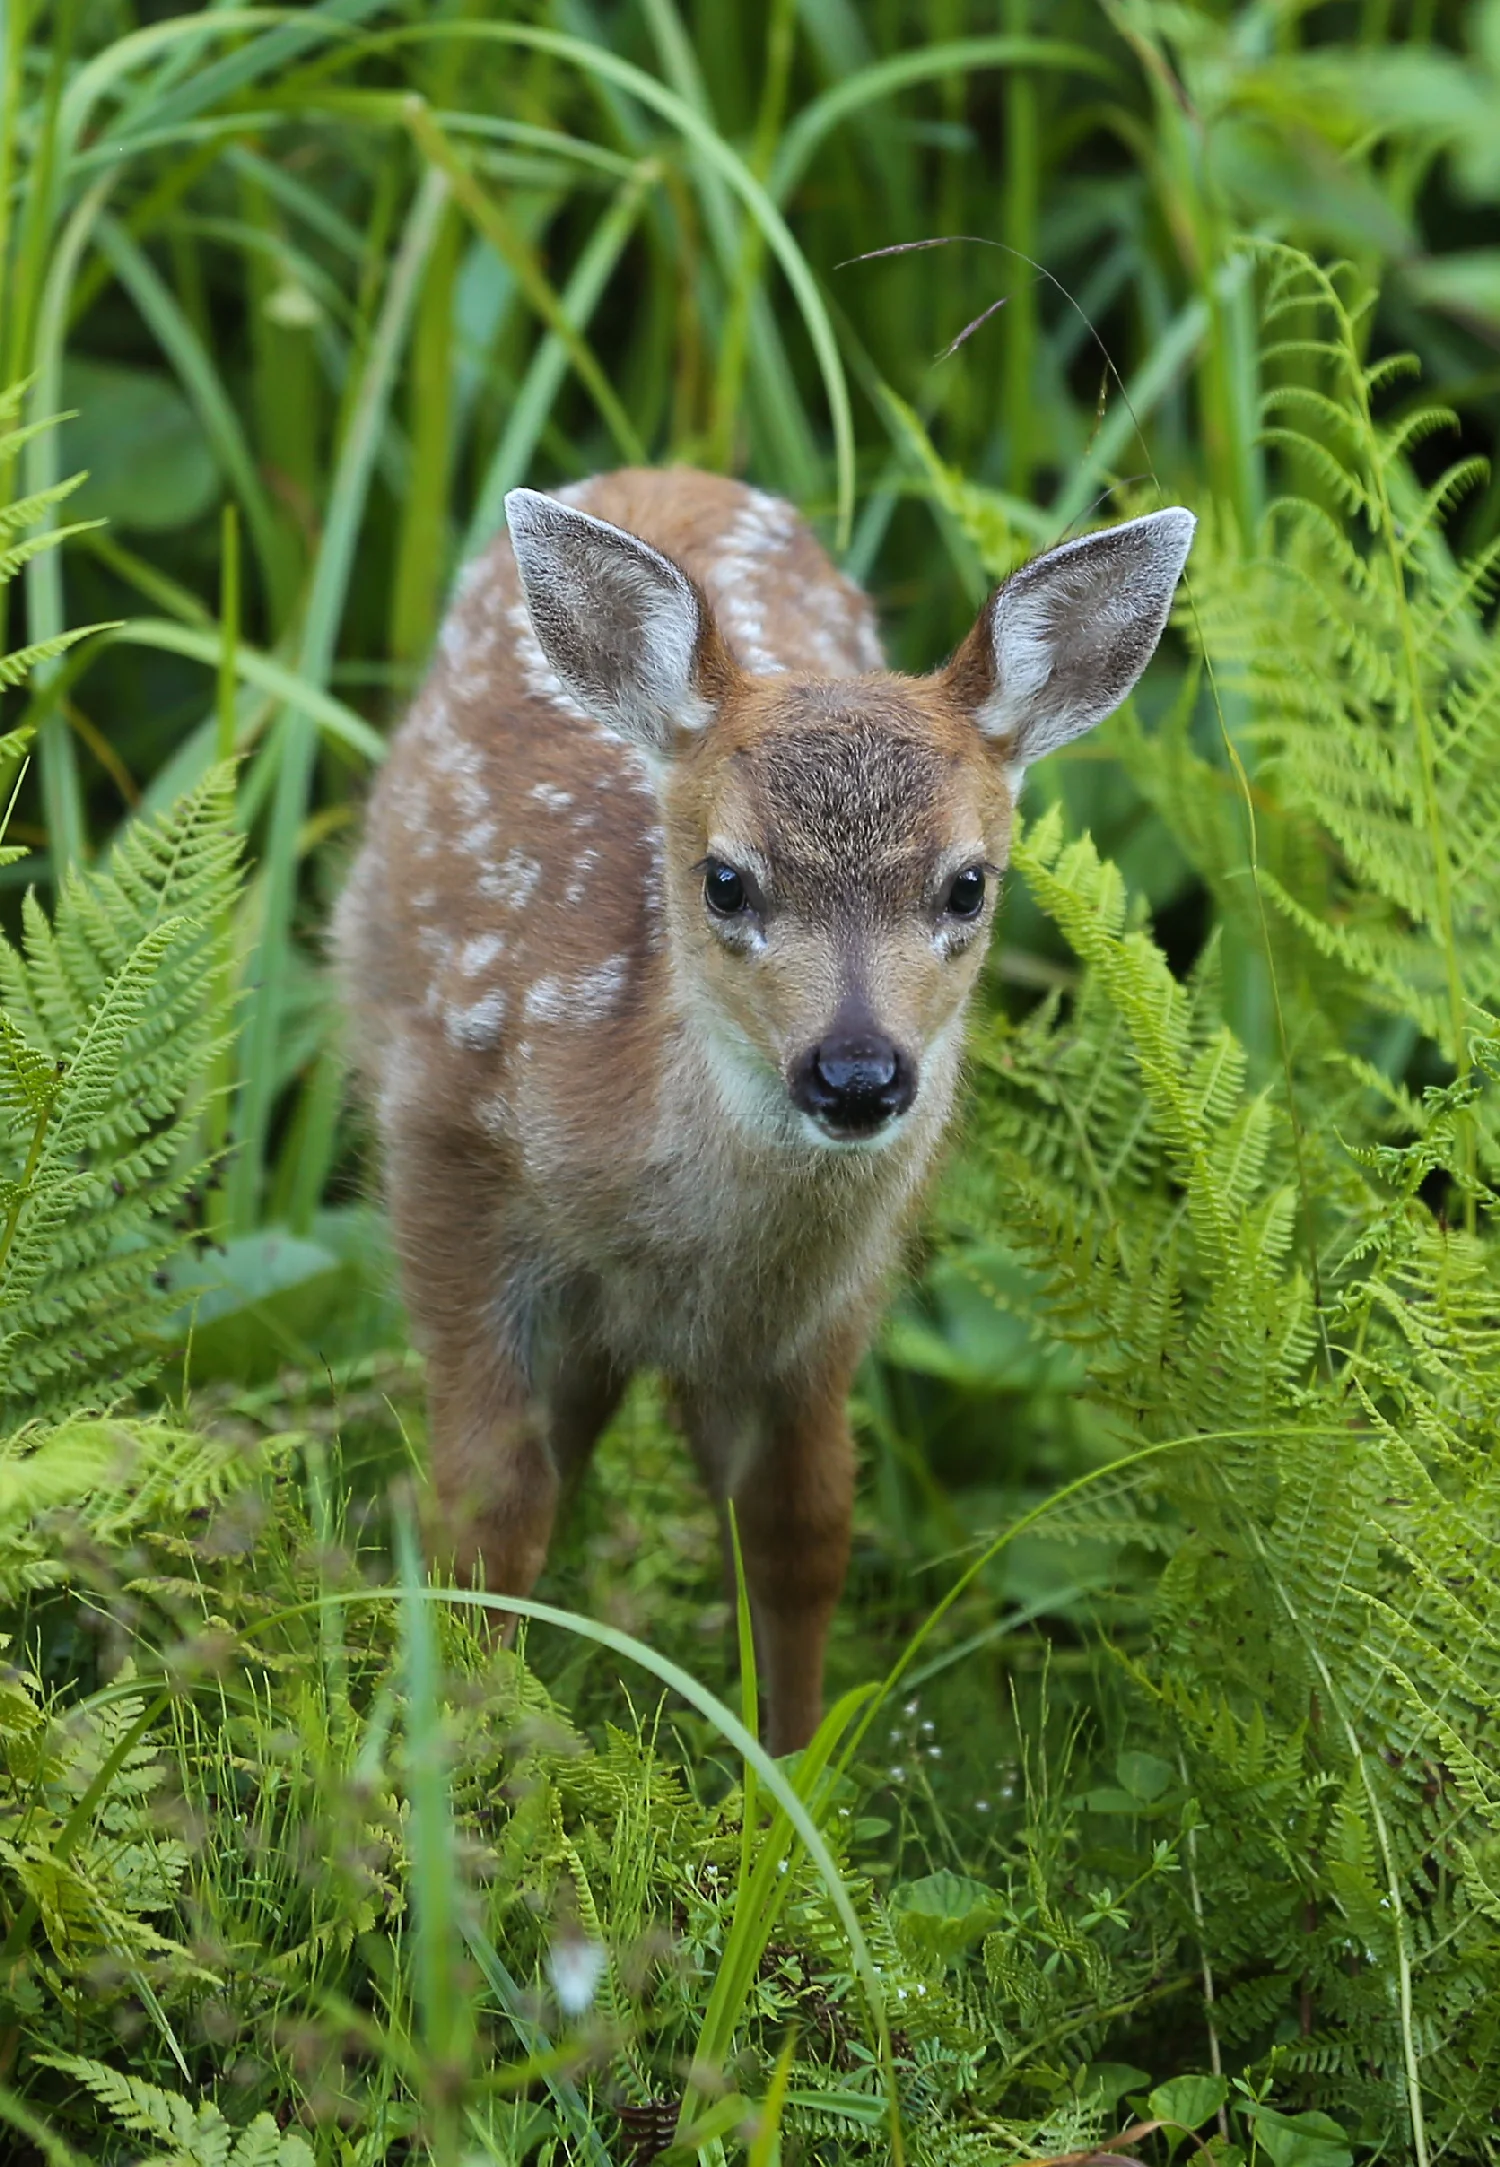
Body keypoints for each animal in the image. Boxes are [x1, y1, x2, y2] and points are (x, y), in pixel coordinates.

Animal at [333, 468, 1193, 1753]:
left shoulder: (823, 1312)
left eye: (968, 884)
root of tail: (670, 473)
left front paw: (786, 1776)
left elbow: (800, 1534)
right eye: (726, 880)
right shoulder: (446, 1163)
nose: (856, 1075)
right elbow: (488, 1512)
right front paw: (469, 1756)